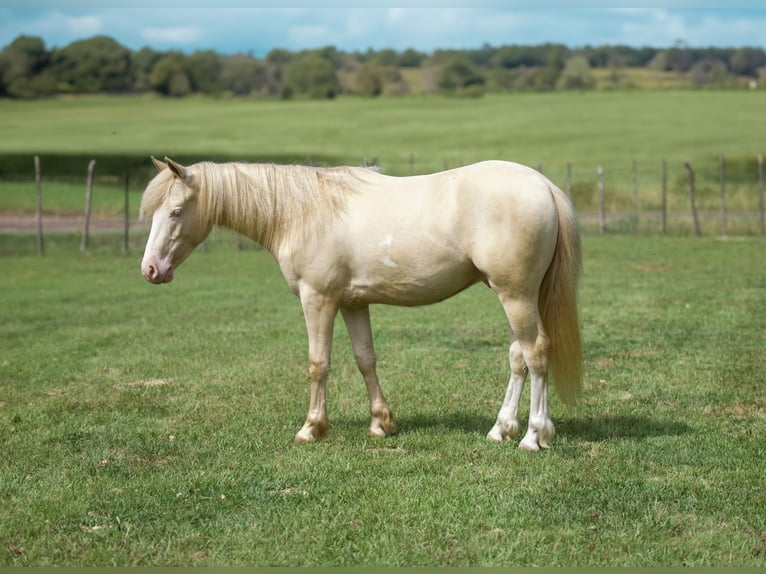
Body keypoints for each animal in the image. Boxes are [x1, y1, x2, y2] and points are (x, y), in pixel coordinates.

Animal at [140, 156, 582, 451]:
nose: (150, 269)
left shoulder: (318, 299)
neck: (304, 212)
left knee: (536, 354)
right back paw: (500, 429)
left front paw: (312, 428)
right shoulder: (353, 303)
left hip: (516, 296)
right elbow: (365, 359)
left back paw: (533, 436)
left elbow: (318, 364)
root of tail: (543, 185)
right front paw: (381, 423)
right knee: (518, 358)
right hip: (511, 296)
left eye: (176, 211)